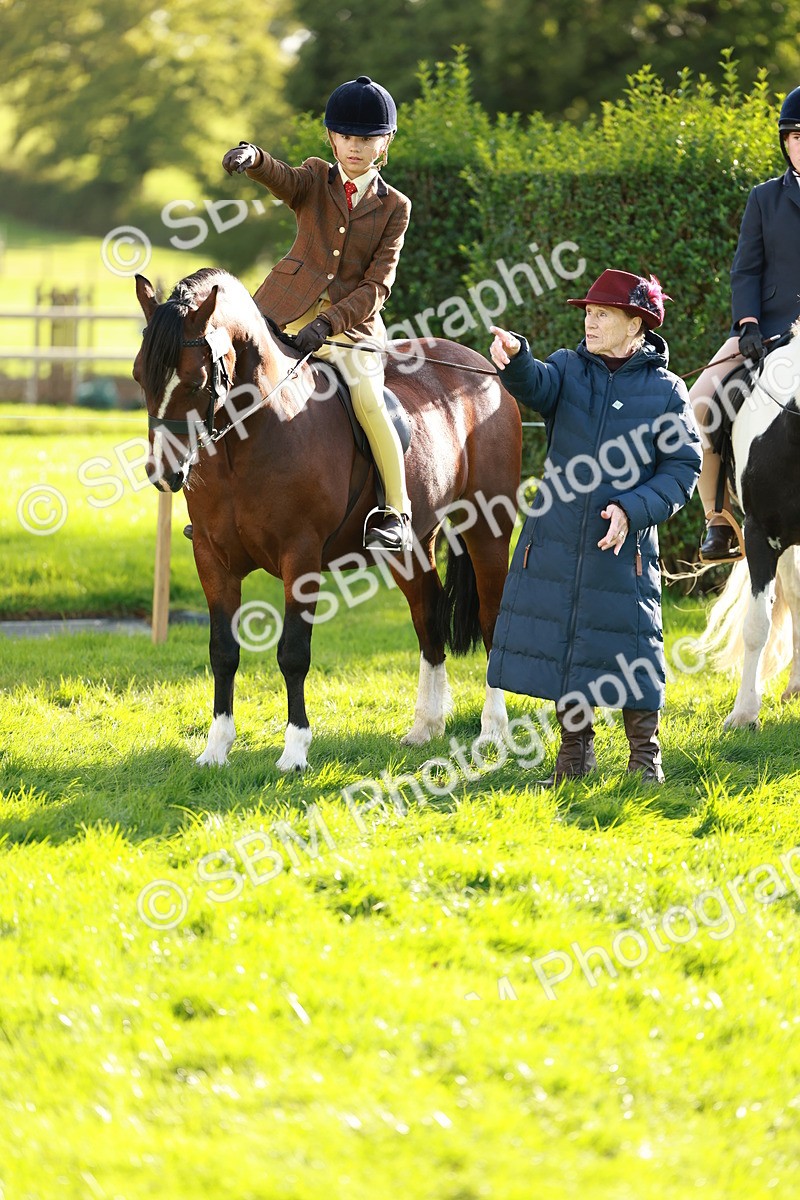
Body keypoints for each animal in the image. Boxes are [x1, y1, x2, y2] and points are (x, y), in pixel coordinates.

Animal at [133, 268, 522, 770]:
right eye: (140, 375)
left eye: (196, 381)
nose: (165, 473)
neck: (251, 437)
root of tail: (487, 373)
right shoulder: (212, 559)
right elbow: (223, 651)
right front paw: (216, 749)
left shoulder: (300, 558)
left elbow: (293, 653)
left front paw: (295, 751)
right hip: (411, 547)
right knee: (427, 618)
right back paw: (425, 727)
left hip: (487, 527)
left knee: (492, 619)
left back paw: (492, 733)